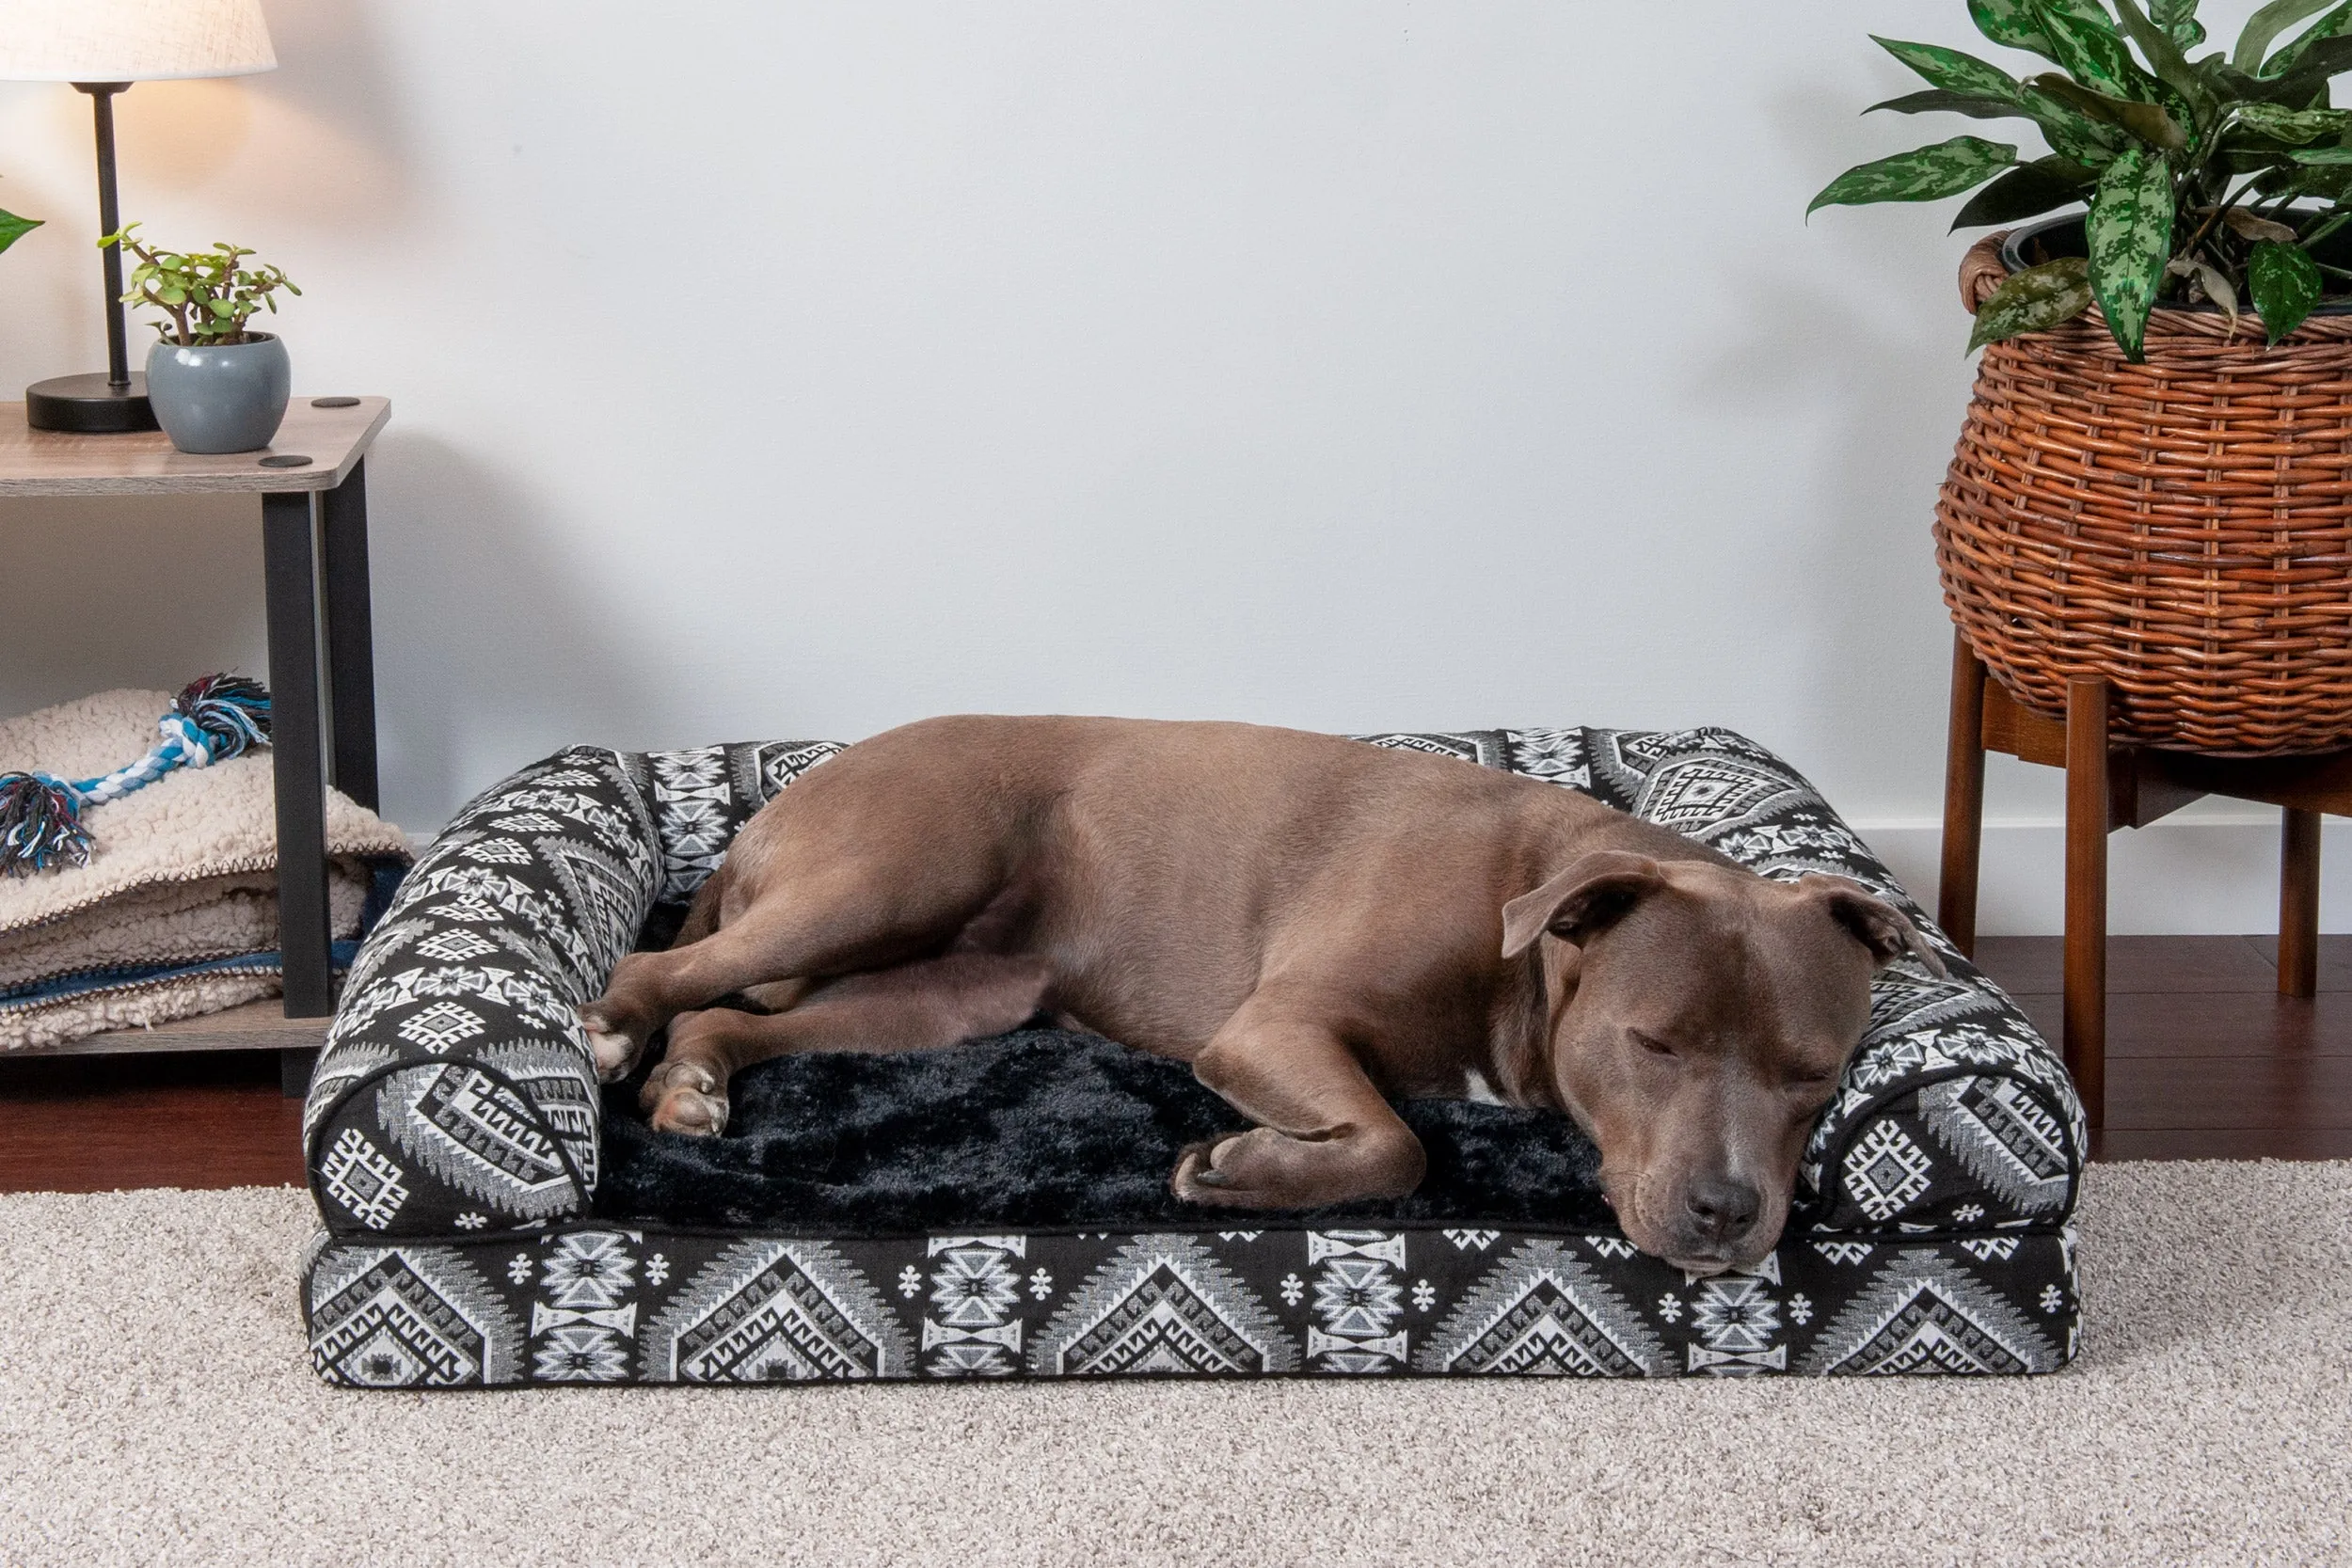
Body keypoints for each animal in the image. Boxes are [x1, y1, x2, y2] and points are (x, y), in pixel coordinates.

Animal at [579, 719, 1938, 1278]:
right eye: (1652, 1042)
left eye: (1812, 1073)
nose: (1726, 1209)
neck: (1529, 926)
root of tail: (779, 803)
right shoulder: (1273, 1025)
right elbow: (1396, 1141)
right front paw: (1241, 1168)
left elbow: (1394, 1135)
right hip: (893, 871)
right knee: (654, 973)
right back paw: (612, 1034)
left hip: (949, 994)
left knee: (725, 1015)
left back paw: (690, 1083)